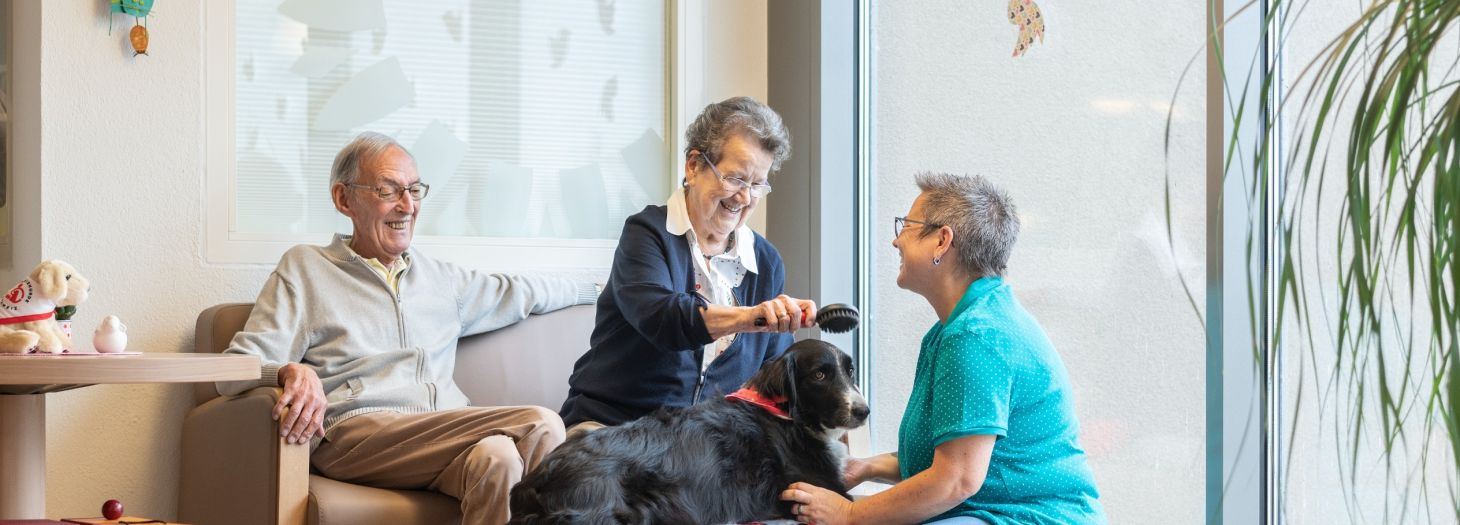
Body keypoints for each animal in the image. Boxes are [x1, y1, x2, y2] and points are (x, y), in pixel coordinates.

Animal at [511, 338, 864, 522]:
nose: (864, 411)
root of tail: (534, 482)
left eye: (850, 371)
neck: (786, 415)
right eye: (819, 375)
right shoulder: (819, 488)